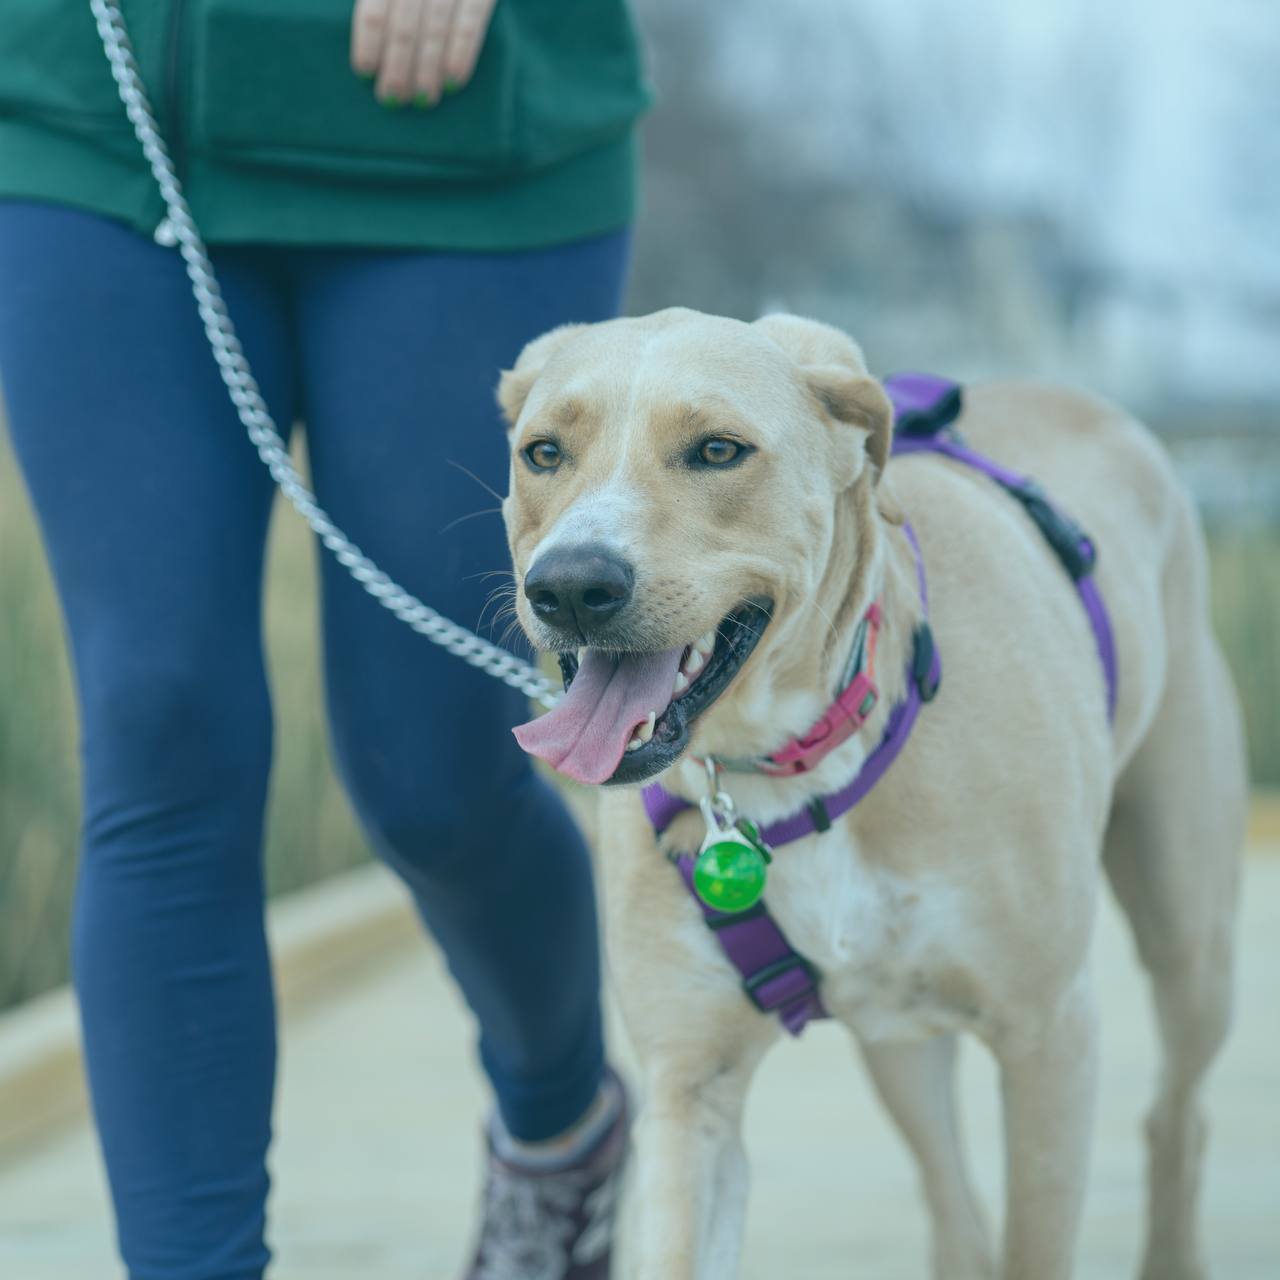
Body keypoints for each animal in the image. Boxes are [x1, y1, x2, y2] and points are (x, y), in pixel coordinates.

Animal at [494, 309, 1244, 1280]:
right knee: (952, 1196)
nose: (571, 586)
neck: (782, 768)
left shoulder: (1050, 1037)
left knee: (1175, 1115)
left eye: (718, 450)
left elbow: (1037, 1243)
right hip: (898, 1040)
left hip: (1191, 944)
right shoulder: (692, 1085)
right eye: (543, 452)